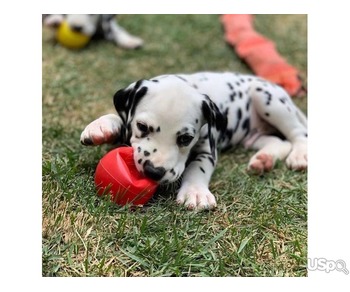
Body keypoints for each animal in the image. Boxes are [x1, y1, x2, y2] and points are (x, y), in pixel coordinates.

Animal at [80, 72, 306, 210]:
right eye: (142, 127)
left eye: (185, 138)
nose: (154, 171)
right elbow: (119, 120)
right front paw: (101, 126)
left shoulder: (208, 150)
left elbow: (197, 167)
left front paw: (195, 192)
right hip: (252, 136)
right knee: (281, 142)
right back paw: (263, 160)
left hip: (267, 99)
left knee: (299, 134)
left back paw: (300, 155)